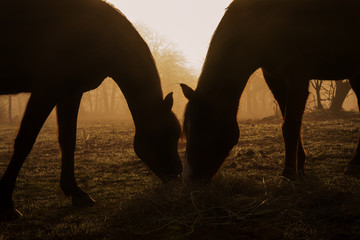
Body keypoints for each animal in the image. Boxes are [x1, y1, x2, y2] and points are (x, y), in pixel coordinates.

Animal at [0, 0, 183, 219]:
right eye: (167, 133)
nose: (177, 173)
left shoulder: (70, 92)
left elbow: (68, 140)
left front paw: (75, 192)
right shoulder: (46, 90)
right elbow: (25, 142)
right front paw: (7, 204)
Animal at [181, 0, 360, 182]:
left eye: (203, 128)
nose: (188, 178)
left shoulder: (297, 77)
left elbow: (290, 126)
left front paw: (288, 173)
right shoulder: (275, 79)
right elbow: (287, 121)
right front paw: (299, 165)